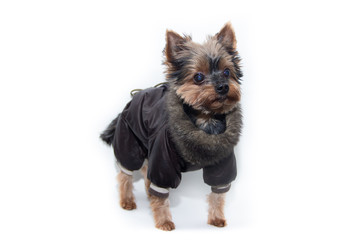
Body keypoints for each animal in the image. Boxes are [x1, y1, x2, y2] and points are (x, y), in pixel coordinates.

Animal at [100, 23, 243, 231]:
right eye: (198, 77)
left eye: (226, 72)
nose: (223, 87)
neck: (206, 119)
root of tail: (134, 98)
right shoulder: (163, 158)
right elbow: (161, 194)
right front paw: (164, 221)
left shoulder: (222, 161)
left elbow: (218, 194)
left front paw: (216, 218)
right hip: (129, 142)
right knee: (125, 173)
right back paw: (127, 200)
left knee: (146, 171)